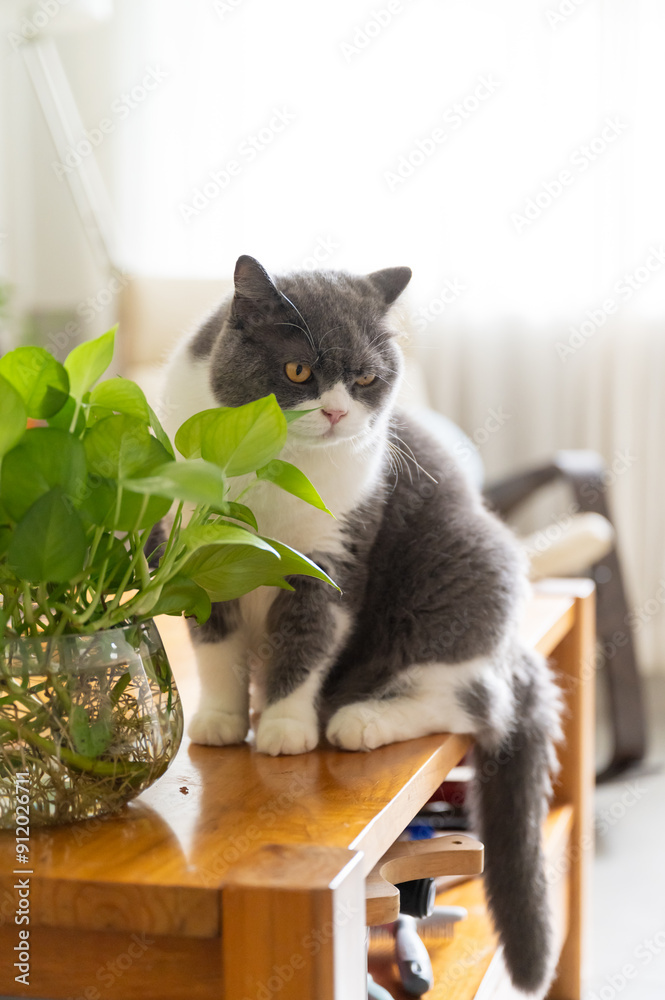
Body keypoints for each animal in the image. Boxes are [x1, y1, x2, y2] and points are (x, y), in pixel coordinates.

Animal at [160, 256, 560, 992]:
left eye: (368, 378)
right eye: (297, 372)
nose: (339, 409)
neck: (272, 469)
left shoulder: (333, 554)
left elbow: (307, 637)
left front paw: (286, 727)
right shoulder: (201, 550)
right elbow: (215, 647)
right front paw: (224, 719)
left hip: (468, 566)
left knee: (472, 700)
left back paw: (358, 718)